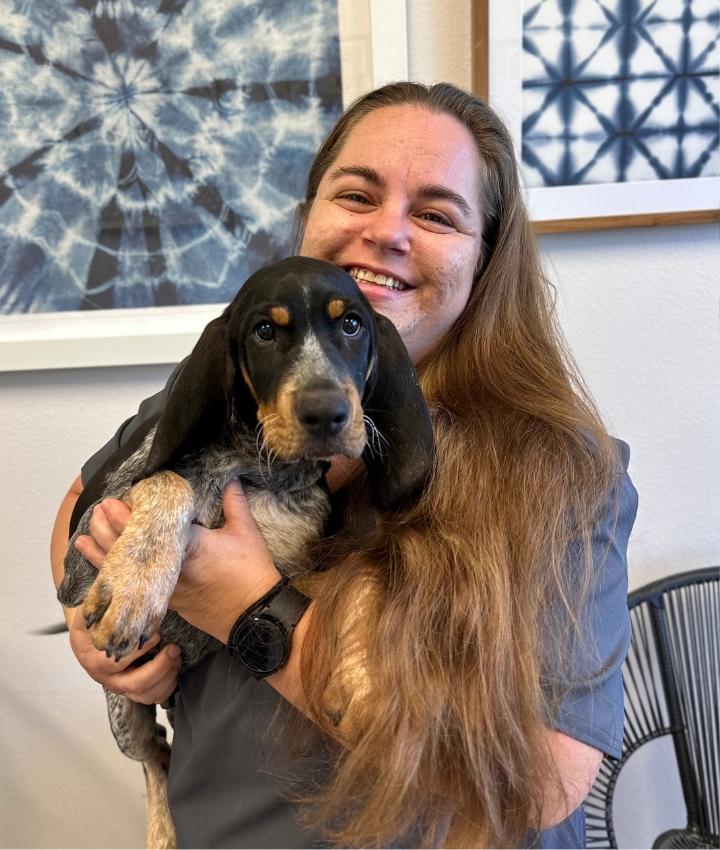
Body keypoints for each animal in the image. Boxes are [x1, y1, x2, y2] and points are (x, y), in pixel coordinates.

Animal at [56, 255, 434, 848]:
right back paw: (162, 832)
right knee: (156, 754)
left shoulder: (309, 559)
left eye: (352, 325)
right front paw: (135, 588)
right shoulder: (82, 556)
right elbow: (170, 481)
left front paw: (359, 673)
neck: (257, 467)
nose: (327, 412)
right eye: (264, 332)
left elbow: (362, 575)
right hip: (124, 713)